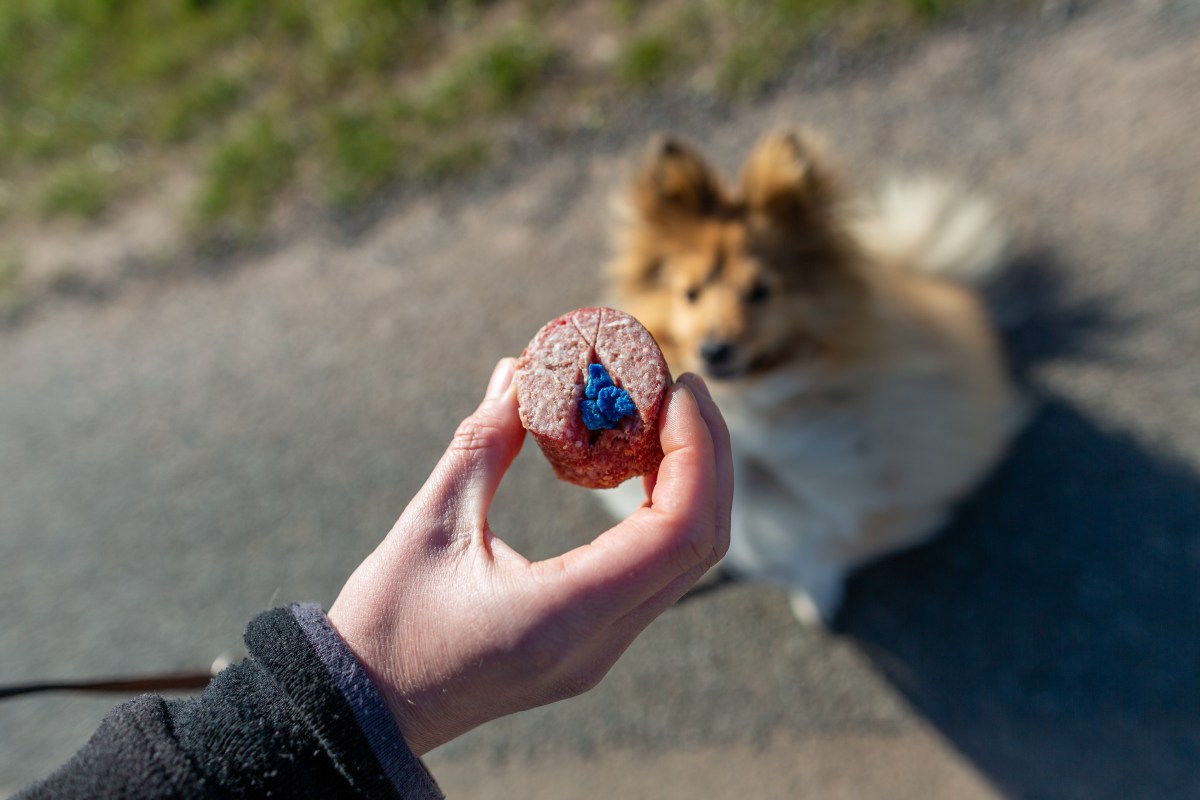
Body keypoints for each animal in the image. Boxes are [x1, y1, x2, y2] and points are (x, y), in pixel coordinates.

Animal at [600, 131, 1022, 623]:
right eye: (690, 293)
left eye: (761, 292)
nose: (714, 350)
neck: (749, 404)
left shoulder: (851, 494)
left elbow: (822, 550)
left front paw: (816, 599)